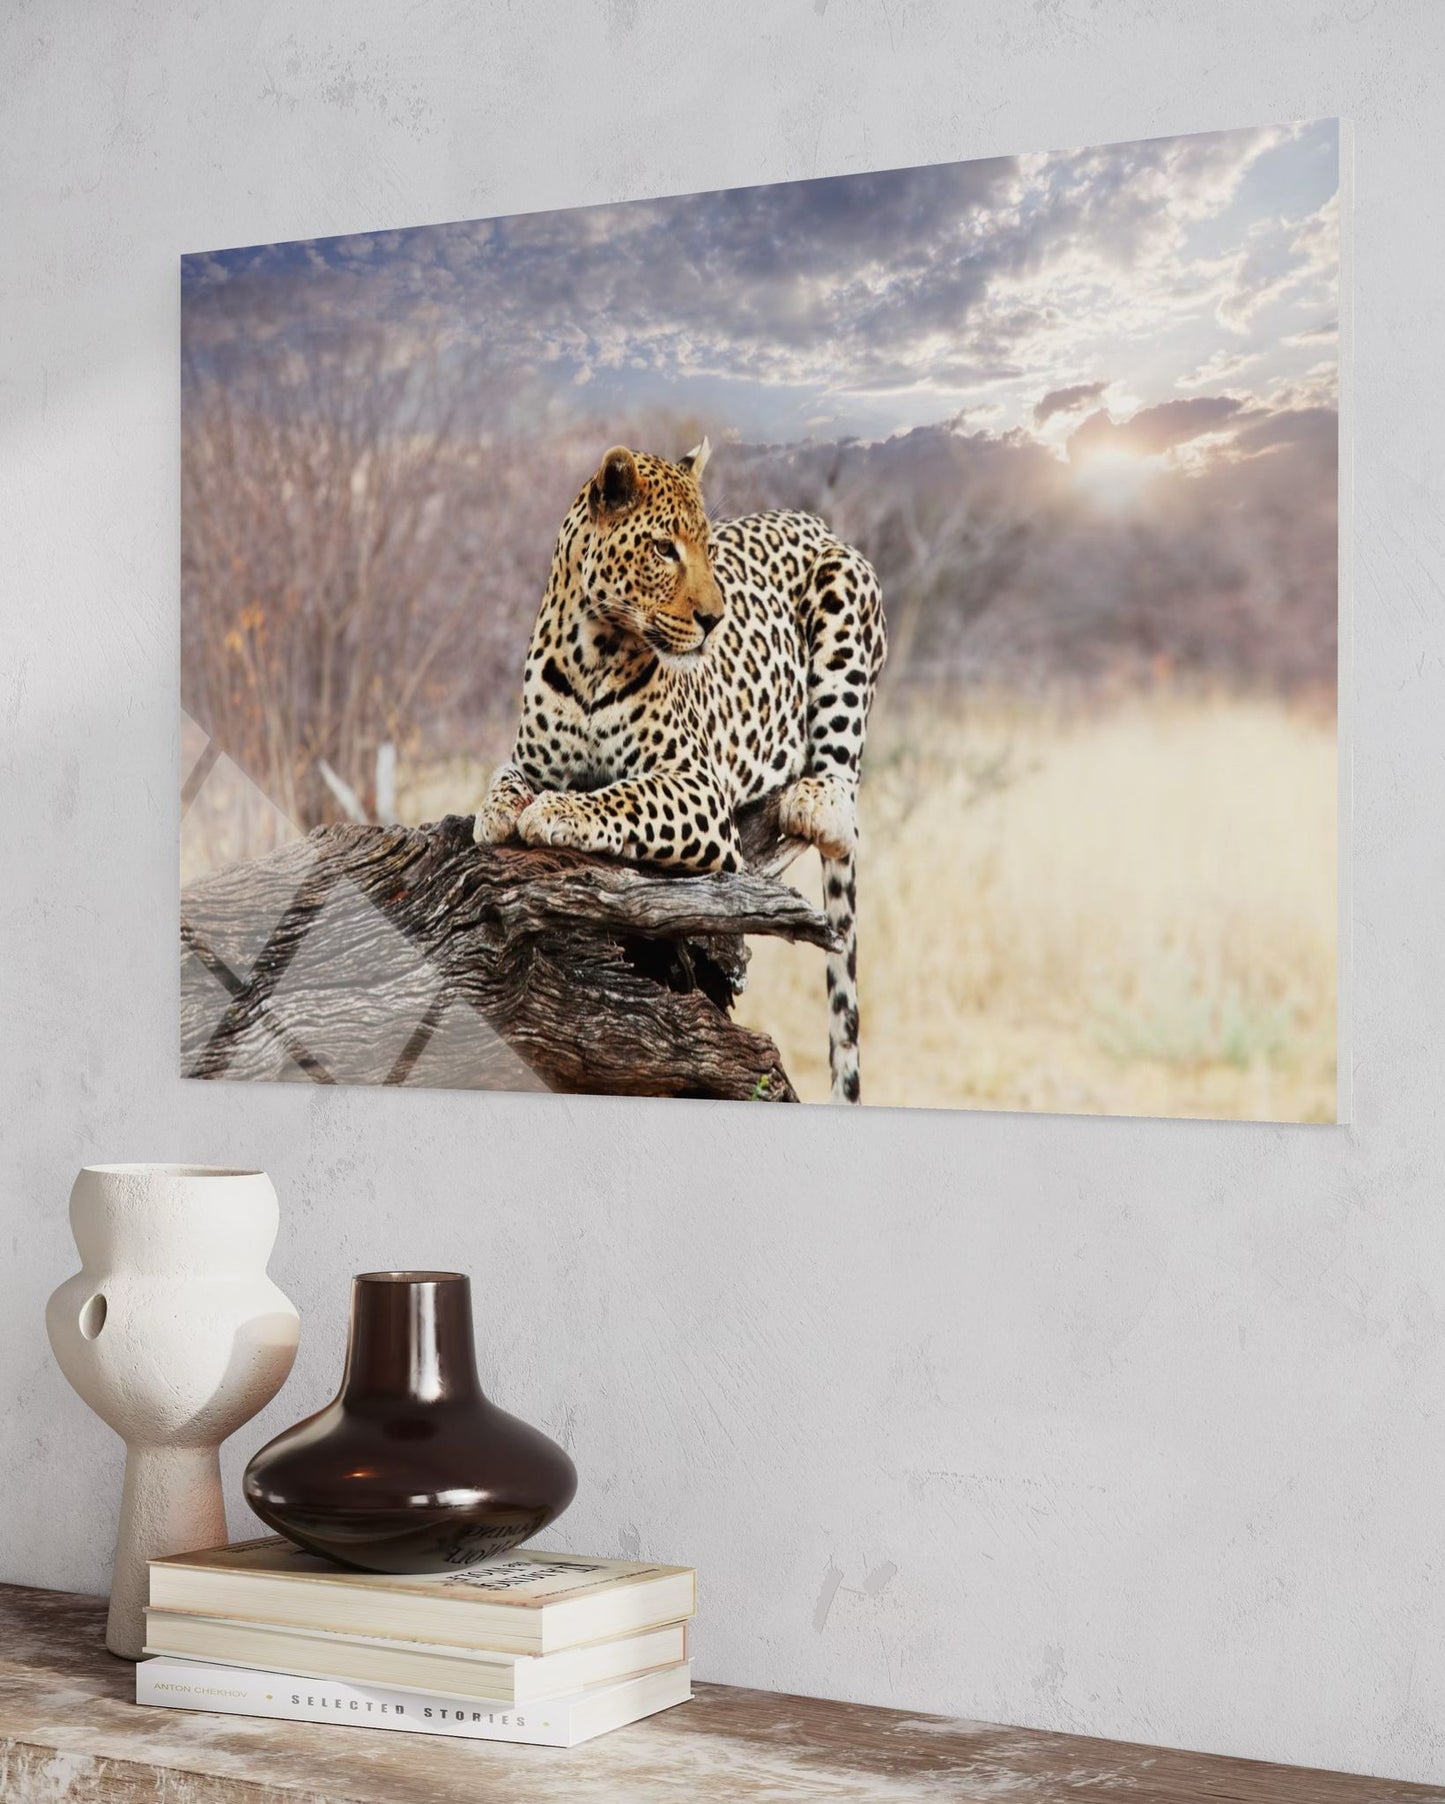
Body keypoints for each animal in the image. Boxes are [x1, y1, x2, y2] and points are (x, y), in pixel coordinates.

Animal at [474, 440, 887, 1103]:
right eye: (665, 548)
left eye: (708, 550)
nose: (715, 619)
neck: (592, 651)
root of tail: (815, 522)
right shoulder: (528, 757)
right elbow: (505, 779)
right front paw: (496, 812)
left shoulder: (695, 786)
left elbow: (622, 796)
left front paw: (556, 811)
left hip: (846, 587)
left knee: (842, 788)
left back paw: (815, 799)